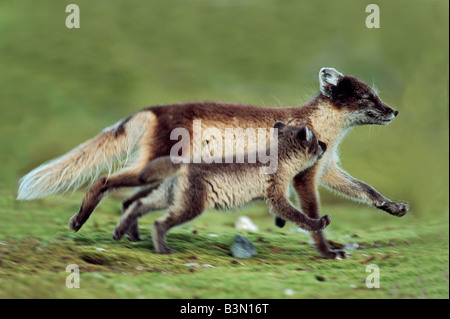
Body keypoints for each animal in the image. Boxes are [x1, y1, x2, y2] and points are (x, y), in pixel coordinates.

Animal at [112, 122, 330, 255]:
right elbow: (297, 215)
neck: (281, 159)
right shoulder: (276, 194)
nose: (326, 145)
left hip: (169, 196)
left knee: (138, 204)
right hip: (192, 204)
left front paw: (280, 222)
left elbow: (286, 211)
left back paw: (120, 233)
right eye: (316, 140)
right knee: (158, 222)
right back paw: (163, 249)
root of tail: (184, 165)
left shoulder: (277, 195)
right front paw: (319, 222)